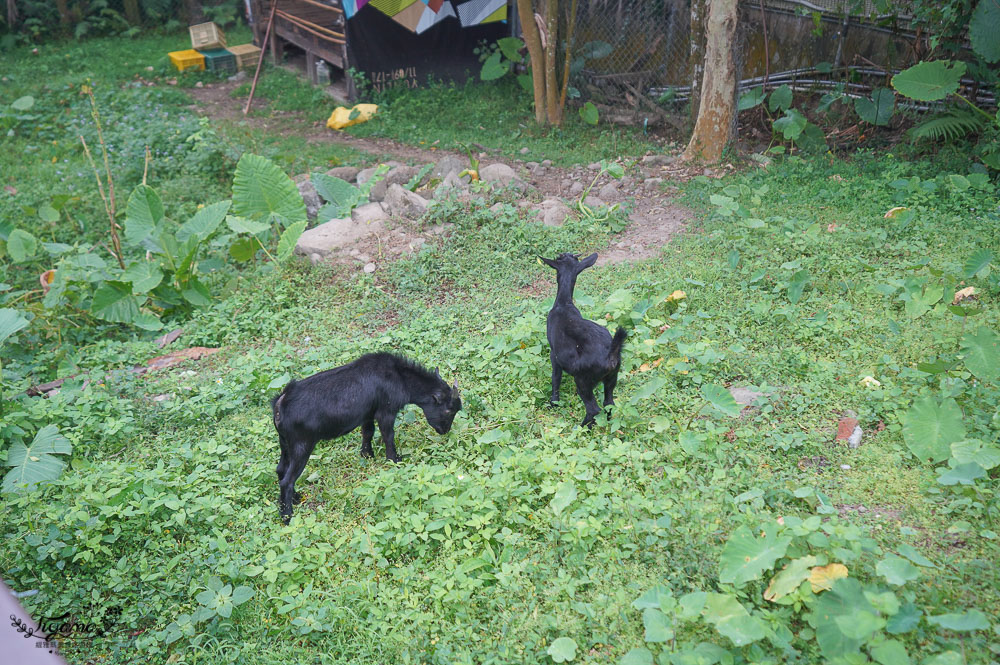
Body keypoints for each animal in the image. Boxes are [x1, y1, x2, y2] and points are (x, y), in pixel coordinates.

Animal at [272, 356, 462, 520]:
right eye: (448, 410)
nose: (444, 430)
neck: (399, 376)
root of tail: (280, 404)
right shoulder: (386, 411)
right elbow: (388, 435)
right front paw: (394, 460)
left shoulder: (368, 413)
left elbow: (368, 432)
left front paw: (367, 454)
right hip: (302, 445)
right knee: (287, 481)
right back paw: (287, 516)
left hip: (285, 443)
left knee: (281, 470)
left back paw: (295, 498)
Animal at [540, 252, 624, 428]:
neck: (563, 304)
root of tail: (610, 356)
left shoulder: (554, 355)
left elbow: (555, 378)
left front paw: (553, 403)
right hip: (613, 376)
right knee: (609, 403)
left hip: (583, 380)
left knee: (593, 409)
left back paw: (581, 427)